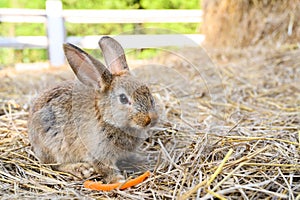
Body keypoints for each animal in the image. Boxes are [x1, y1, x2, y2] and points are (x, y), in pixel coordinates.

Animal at [27, 36, 158, 183]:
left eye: (147, 90)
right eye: (123, 99)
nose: (152, 119)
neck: (105, 117)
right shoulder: (98, 153)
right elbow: (105, 168)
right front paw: (118, 181)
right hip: (54, 147)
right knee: (55, 165)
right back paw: (81, 169)